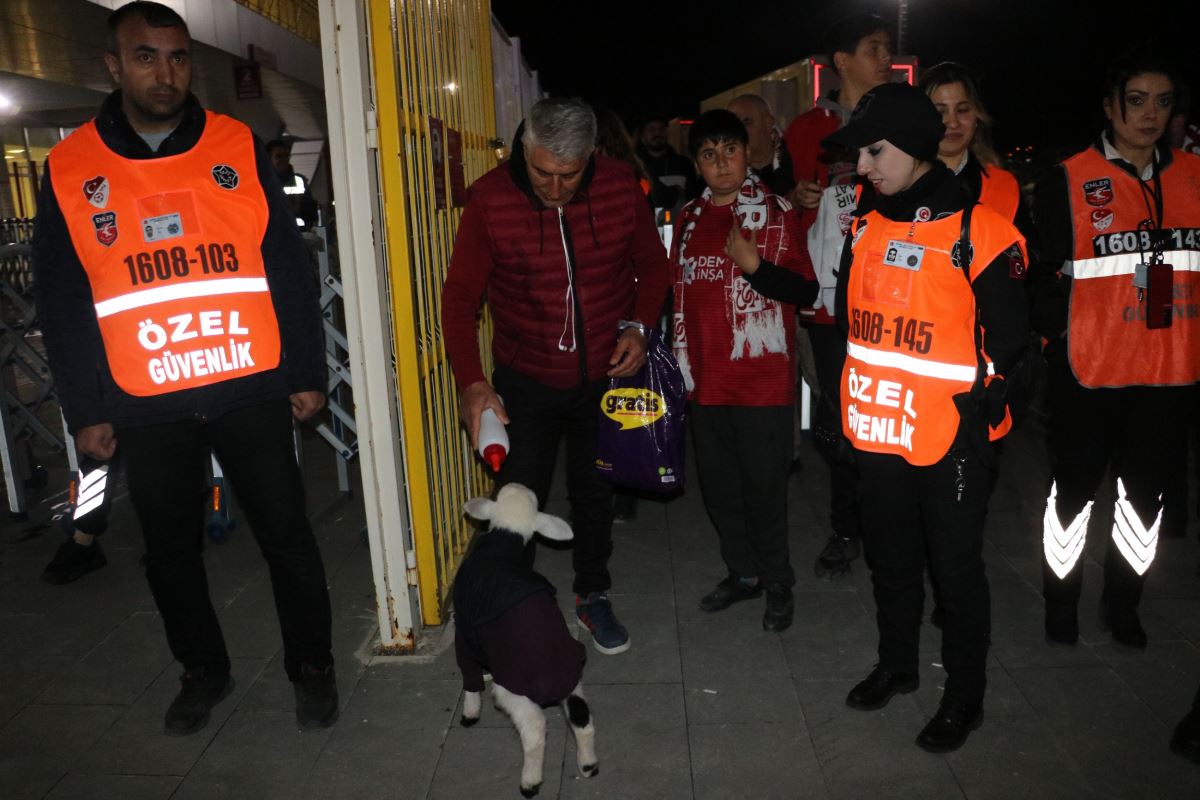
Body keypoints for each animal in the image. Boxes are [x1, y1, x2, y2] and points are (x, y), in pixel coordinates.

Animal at [451, 484, 597, 796]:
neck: (505, 540)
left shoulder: (464, 632)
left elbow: (470, 678)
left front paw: (470, 713)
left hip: (515, 689)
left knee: (535, 729)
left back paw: (530, 781)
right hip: (573, 678)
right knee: (582, 718)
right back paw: (588, 764)